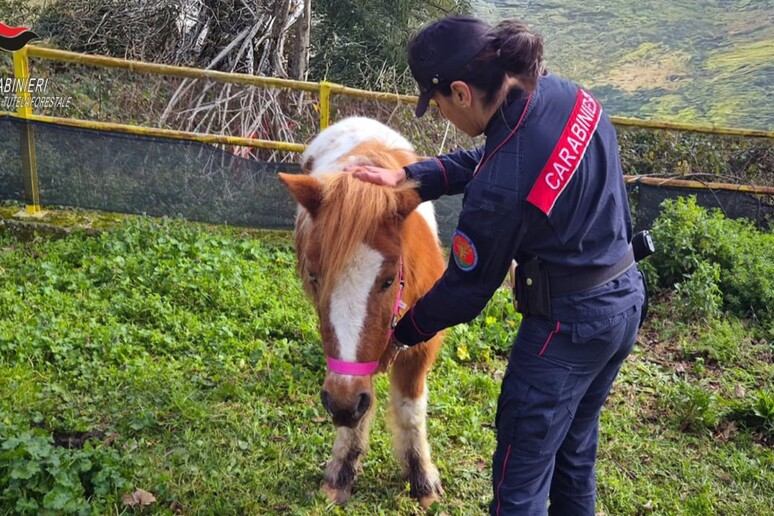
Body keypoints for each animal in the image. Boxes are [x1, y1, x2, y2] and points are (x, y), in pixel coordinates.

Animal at [278, 118, 448, 508]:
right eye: (314, 276)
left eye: (387, 280)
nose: (339, 404)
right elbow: (357, 414)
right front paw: (341, 474)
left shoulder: (421, 346)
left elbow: (410, 411)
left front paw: (422, 478)